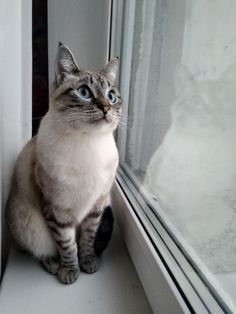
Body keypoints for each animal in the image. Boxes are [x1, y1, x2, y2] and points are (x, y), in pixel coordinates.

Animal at [5, 43, 121, 284]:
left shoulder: (96, 207)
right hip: (29, 226)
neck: (89, 143)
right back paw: (53, 264)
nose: (106, 107)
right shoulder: (57, 210)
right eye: (84, 92)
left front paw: (88, 262)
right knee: (38, 249)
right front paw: (69, 271)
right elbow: (67, 245)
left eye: (111, 96)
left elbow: (86, 240)